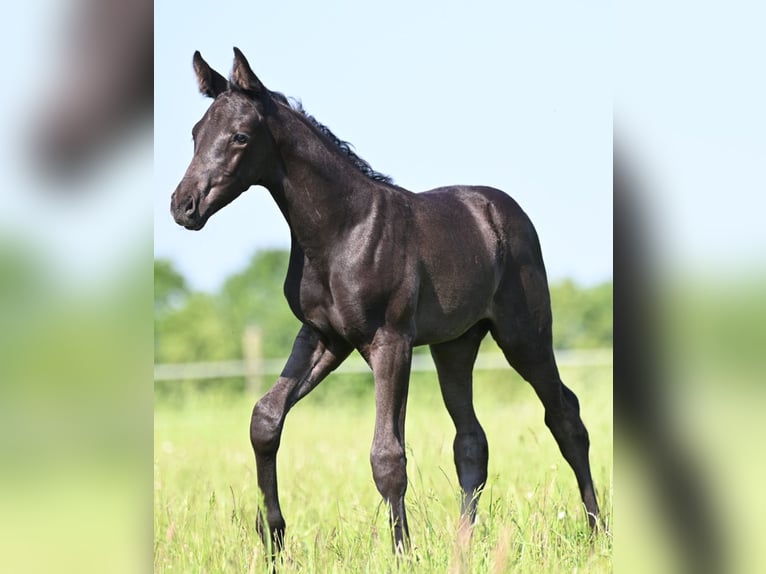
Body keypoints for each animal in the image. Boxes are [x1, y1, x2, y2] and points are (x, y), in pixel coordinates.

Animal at [171, 47, 600, 554]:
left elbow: (387, 454)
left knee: (565, 417)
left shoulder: (390, 342)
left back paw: (598, 531)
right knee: (471, 441)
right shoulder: (323, 337)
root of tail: (502, 211)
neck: (342, 230)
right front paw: (273, 537)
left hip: (524, 336)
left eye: (239, 135)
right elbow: (266, 419)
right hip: (455, 345)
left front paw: (402, 551)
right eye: (196, 132)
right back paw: (463, 546)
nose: (183, 205)